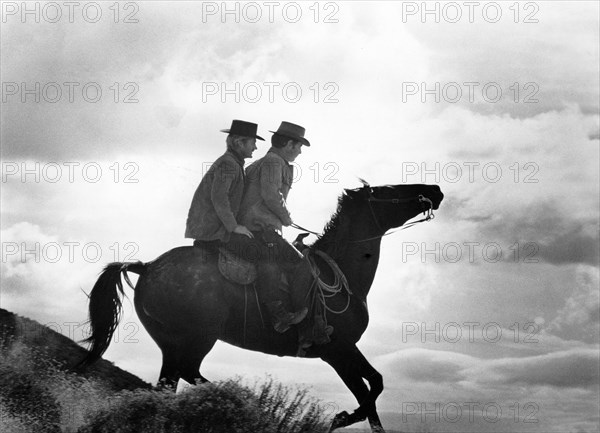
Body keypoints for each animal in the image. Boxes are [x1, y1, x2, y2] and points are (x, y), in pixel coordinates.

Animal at [79, 181, 442, 430]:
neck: (340, 274)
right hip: (197, 337)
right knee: (189, 372)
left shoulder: (343, 352)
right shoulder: (338, 350)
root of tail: (148, 266)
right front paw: (340, 418)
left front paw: (345, 416)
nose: (435, 189)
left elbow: (373, 395)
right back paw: (249, 404)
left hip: (171, 342)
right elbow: (372, 390)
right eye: (390, 190)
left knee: (170, 384)